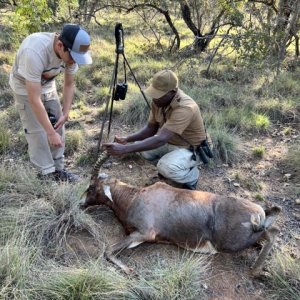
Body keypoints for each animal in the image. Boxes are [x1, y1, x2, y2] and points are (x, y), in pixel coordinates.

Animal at [80, 151, 282, 276]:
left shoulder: (144, 233)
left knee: (273, 232)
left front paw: (129, 270)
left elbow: (108, 251)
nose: (81, 203)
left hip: (234, 241)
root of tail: (258, 211)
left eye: (92, 187)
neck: (135, 197)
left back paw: (256, 272)